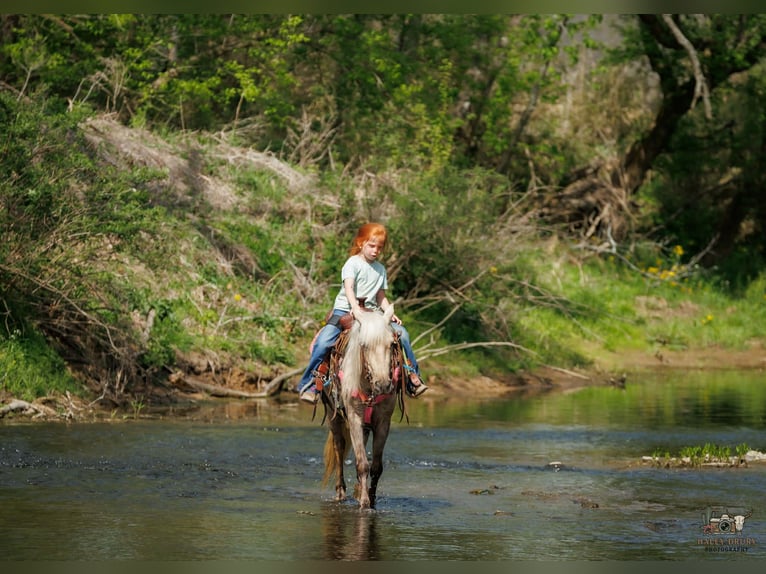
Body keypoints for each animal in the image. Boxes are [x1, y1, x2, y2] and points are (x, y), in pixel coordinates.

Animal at [321, 304, 402, 510]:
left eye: (392, 344)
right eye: (364, 345)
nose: (383, 384)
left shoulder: (383, 422)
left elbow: (376, 466)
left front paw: (371, 501)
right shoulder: (354, 418)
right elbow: (362, 464)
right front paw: (365, 504)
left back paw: (358, 490)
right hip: (333, 415)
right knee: (339, 448)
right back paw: (341, 492)